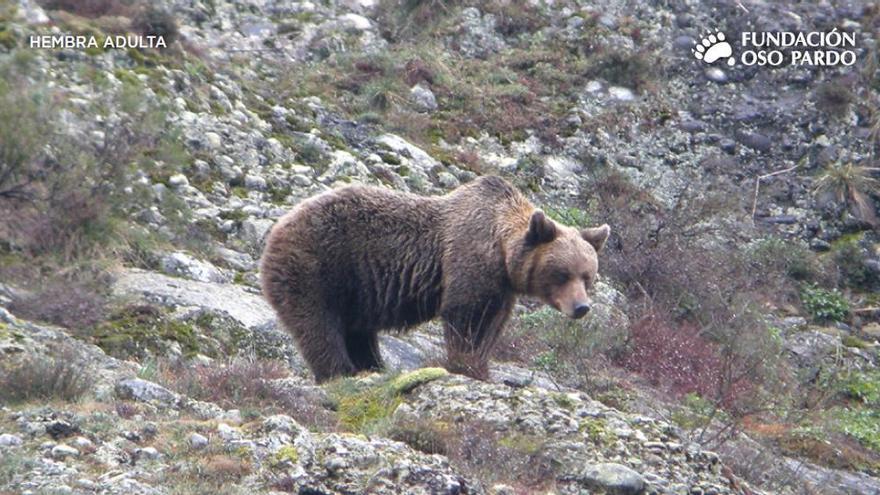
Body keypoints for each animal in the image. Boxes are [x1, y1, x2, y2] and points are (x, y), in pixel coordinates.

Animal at [258, 177, 608, 384]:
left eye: (588, 276)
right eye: (562, 273)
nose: (581, 307)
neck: (501, 251)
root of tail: (278, 225)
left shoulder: (501, 289)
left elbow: (492, 326)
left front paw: (481, 366)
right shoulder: (469, 263)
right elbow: (466, 317)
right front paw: (465, 364)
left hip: (356, 290)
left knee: (357, 331)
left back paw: (372, 366)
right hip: (319, 266)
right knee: (319, 325)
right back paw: (340, 371)